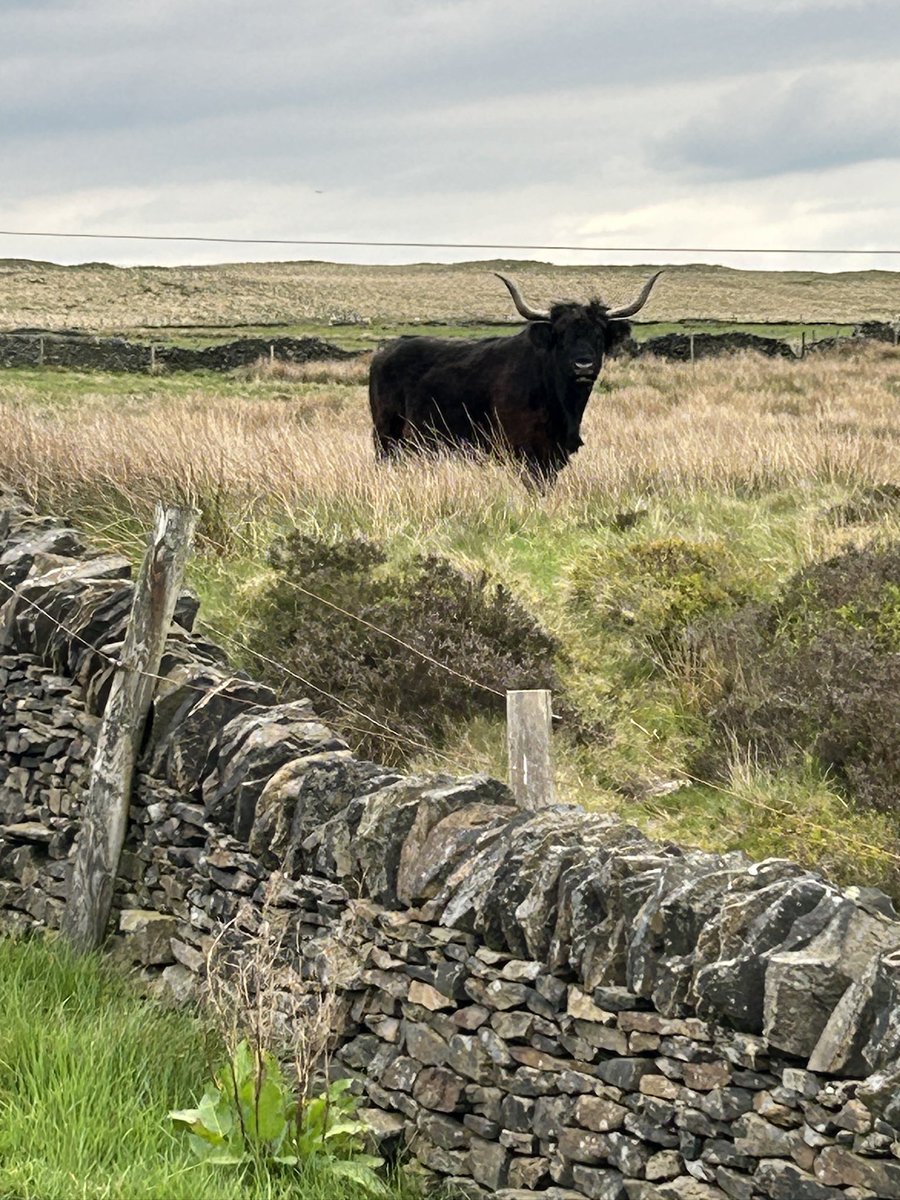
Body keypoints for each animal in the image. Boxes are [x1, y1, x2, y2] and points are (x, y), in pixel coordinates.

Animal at [368, 270, 662, 482]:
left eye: (599, 335)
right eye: (561, 336)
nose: (583, 366)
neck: (562, 403)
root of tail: (386, 352)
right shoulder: (523, 451)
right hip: (388, 436)